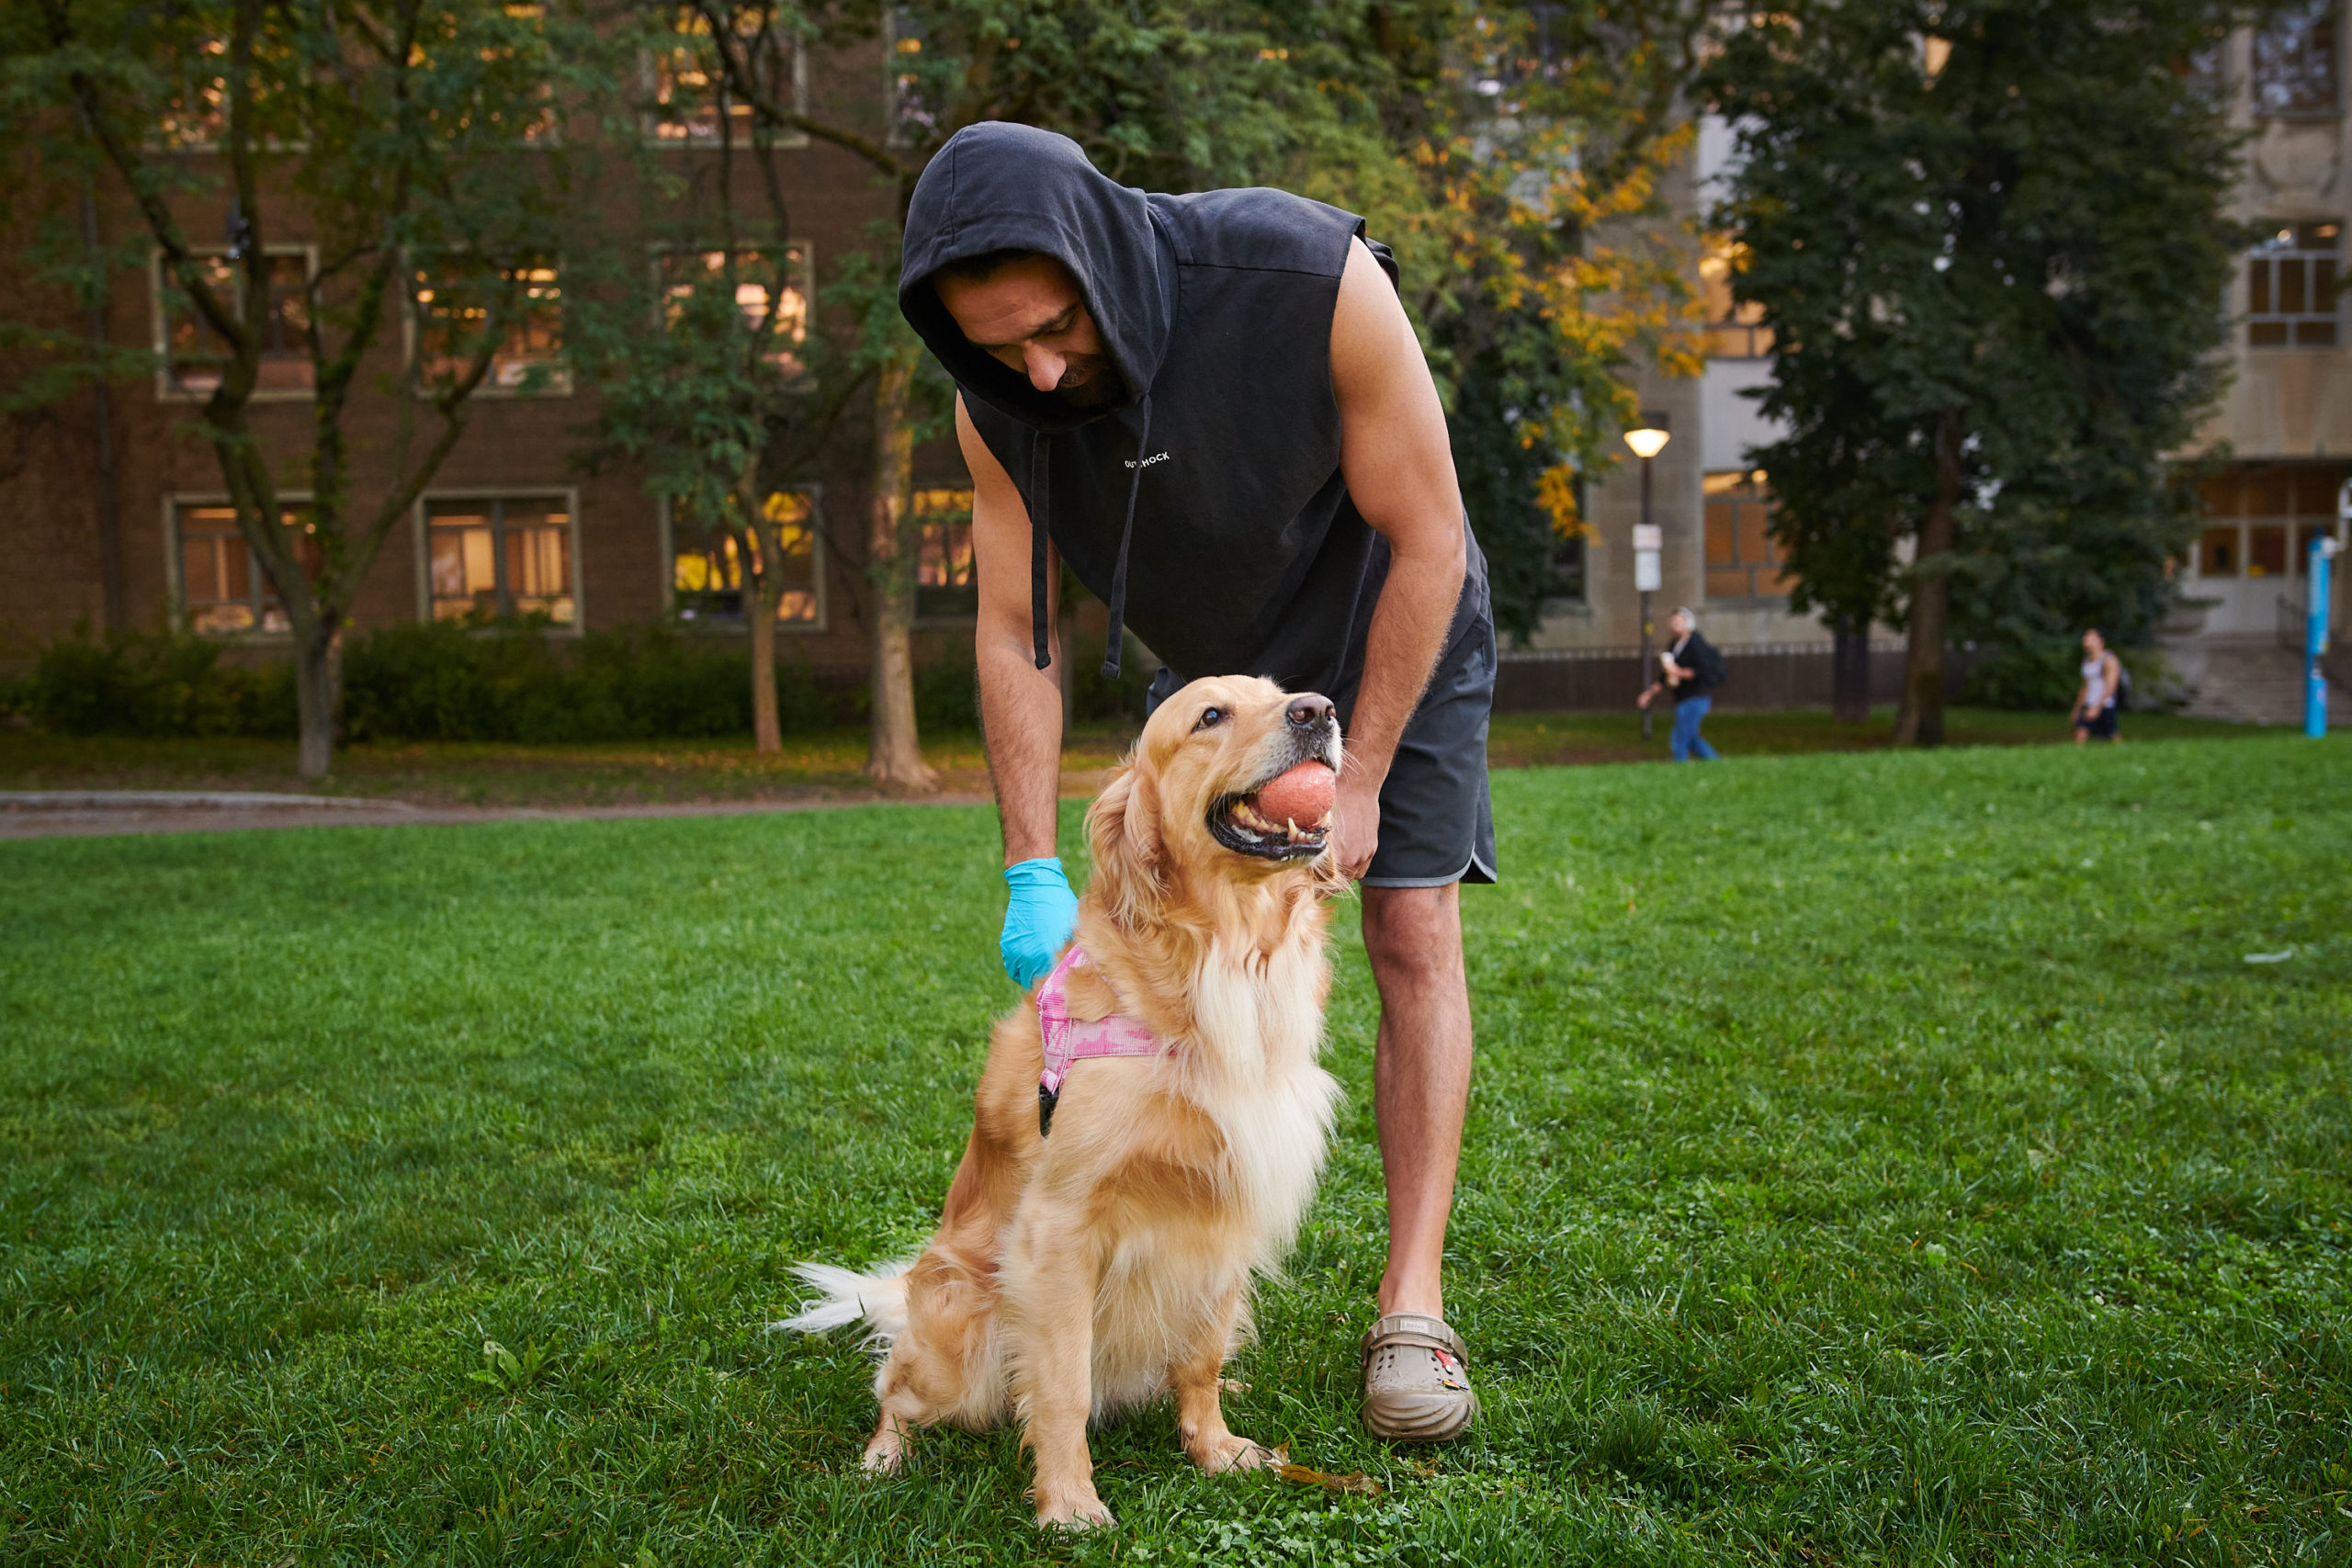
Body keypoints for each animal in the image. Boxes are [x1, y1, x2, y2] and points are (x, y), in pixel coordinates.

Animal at [786, 677, 1345, 1532]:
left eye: (1284, 692)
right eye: (1210, 716)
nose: (1318, 710)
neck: (1219, 963)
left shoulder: (1229, 1207)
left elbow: (1201, 1354)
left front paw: (1214, 1445)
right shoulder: (1060, 1229)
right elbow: (1061, 1386)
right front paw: (1071, 1501)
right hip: (959, 1324)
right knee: (896, 1387)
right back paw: (883, 1457)